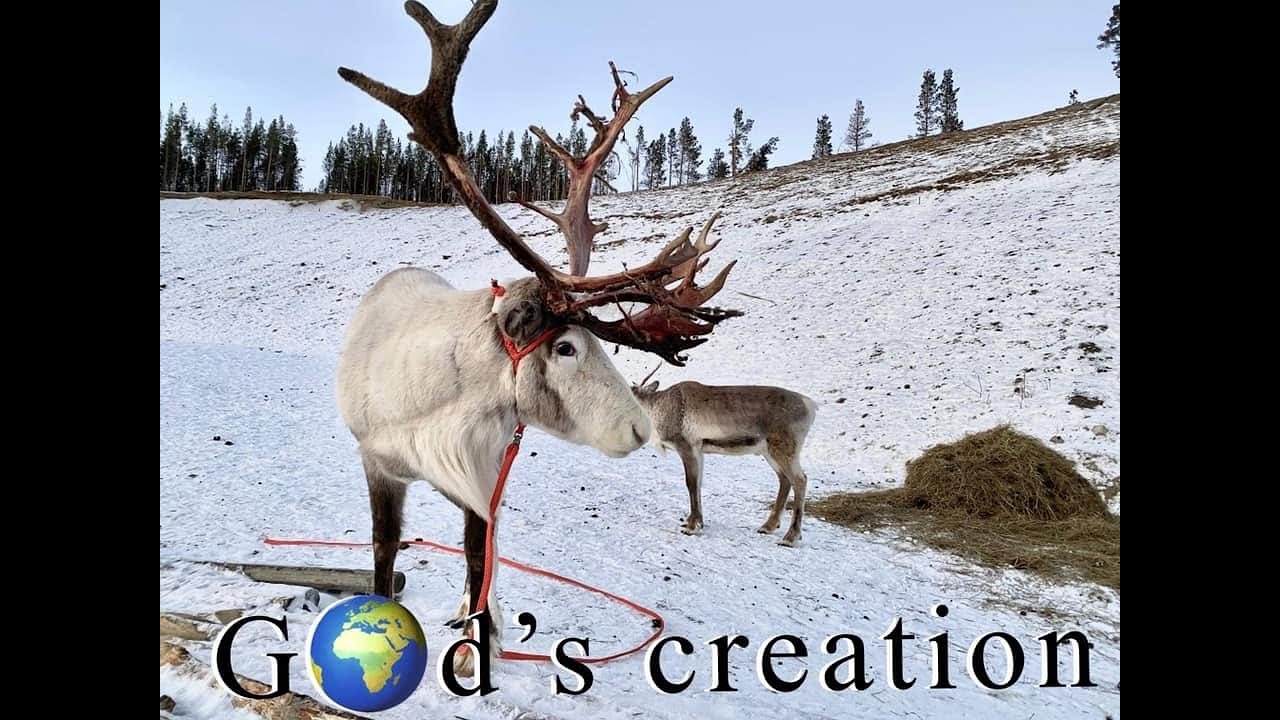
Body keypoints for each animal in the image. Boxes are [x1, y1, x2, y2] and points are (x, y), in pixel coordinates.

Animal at [335, 0, 740, 677]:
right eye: (565, 346)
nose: (640, 428)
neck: (435, 407)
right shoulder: (378, 462)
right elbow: (385, 549)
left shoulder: (482, 466)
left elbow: (479, 553)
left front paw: (476, 650)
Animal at [631, 370, 817, 547]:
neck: (657, 410)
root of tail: (811, 405)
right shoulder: (699, 450)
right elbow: (698, 483)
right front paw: (696, 522)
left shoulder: (686, 447)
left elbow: (691, 484)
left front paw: (691, 527)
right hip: (769, 452)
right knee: (784, 480)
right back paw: (768, 526)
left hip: (784, 449)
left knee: (800, 480)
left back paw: (790, 538)